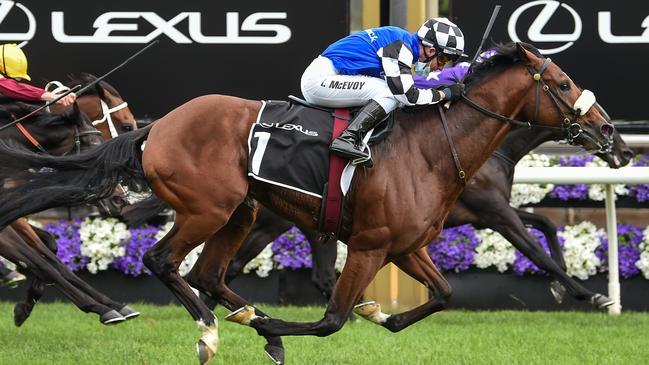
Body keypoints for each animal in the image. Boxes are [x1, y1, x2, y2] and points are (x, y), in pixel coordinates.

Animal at [0, 42, 616, 362]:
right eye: (562, 84)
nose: (608, 131)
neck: (430, 148)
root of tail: (159, 128)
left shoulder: (407, 245)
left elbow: (442, 295)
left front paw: (381, 314)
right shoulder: (370, 245)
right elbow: (330, 320)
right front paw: (284, 327)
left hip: (243, 211)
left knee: (206, 273)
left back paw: (248, 317)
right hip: (209, 208)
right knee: (163, 261)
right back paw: (210, 330)